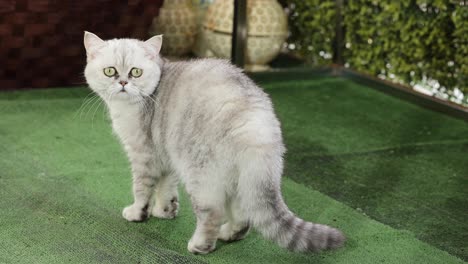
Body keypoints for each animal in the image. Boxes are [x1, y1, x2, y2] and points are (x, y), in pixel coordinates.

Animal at [83, 32, 344, 255]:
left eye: (136, 72)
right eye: (110, 71)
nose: (123, 83)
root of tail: (256, 119)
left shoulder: (143, 155)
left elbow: (142, 189)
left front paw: (138, 213)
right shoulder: (166, 156)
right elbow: (165, 187)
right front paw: (164, 211)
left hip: (201, 175)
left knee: (212, 214)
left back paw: (200, 245)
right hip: (241, 179)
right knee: (243, 217)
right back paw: (227, 234)